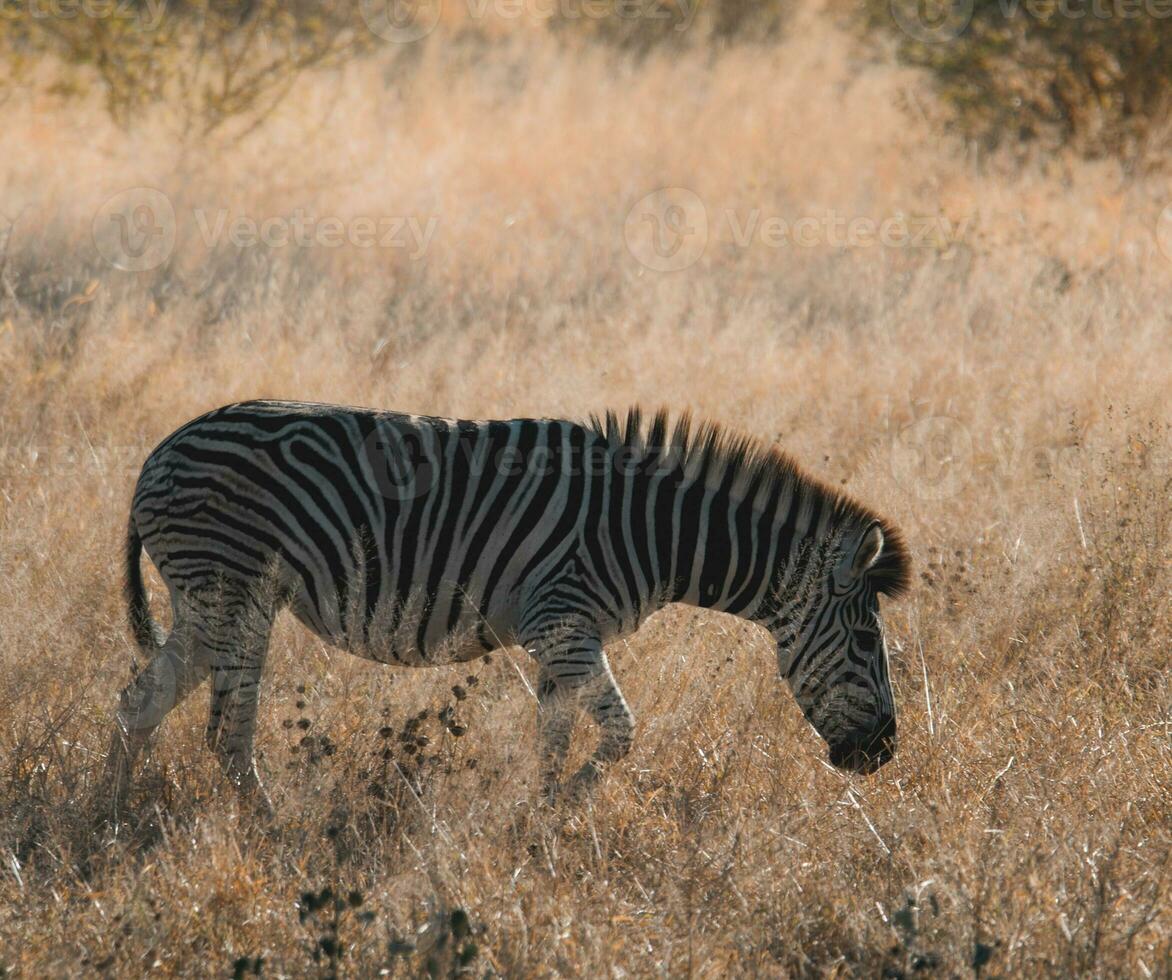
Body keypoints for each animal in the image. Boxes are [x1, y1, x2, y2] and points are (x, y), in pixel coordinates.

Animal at [105, 400, 909, 815]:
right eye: (868, 643)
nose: (884, 755)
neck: (650, 531)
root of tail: (158, 452)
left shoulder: (561, 639)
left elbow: (552, 737)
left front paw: (537, 824)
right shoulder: (563, 625)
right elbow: (621, 731)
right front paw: (563, 809)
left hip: (207, 603)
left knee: (138, 701)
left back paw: (110, 816)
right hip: (233, 594)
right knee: (223, 733)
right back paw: (271, 829)